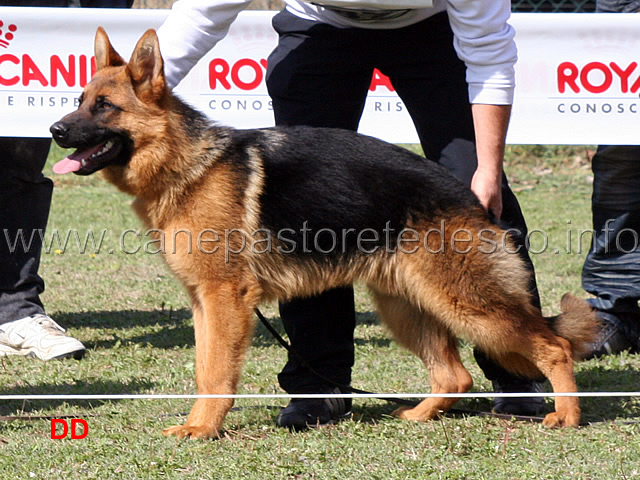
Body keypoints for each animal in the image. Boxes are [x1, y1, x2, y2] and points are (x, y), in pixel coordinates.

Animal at [50, 27, 600, 438]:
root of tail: (468, 196)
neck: (185, 164)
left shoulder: (225, 300)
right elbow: (205, 369)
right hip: (405, 305)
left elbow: (218, 371)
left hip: (467, 304)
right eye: (80, 100)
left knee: (554, 346)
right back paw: (420, 415)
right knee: (456, 374)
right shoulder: (204, 302)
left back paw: (566, 415)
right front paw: (200, 424)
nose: (55, 131)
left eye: (104, 106)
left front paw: (203, 429)